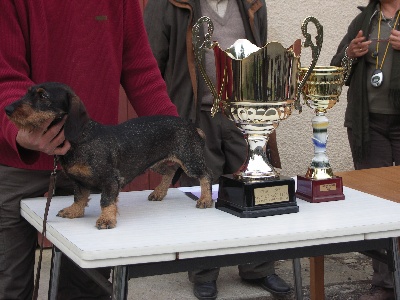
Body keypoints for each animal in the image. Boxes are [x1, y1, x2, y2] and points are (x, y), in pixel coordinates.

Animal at [6, 81, 212, 227]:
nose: (7, 109)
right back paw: (159, 193)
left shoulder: (110, 180)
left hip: (190, 161)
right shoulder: (78, 181)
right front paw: (74, 211)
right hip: (153, 161)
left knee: (206, 175)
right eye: (28, 92)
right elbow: (79, 197)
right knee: (169, 171)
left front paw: (106, 219)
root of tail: (192, 126)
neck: (82, 139)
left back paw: (206, 199)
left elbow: (106, 201)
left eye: (43, 96)